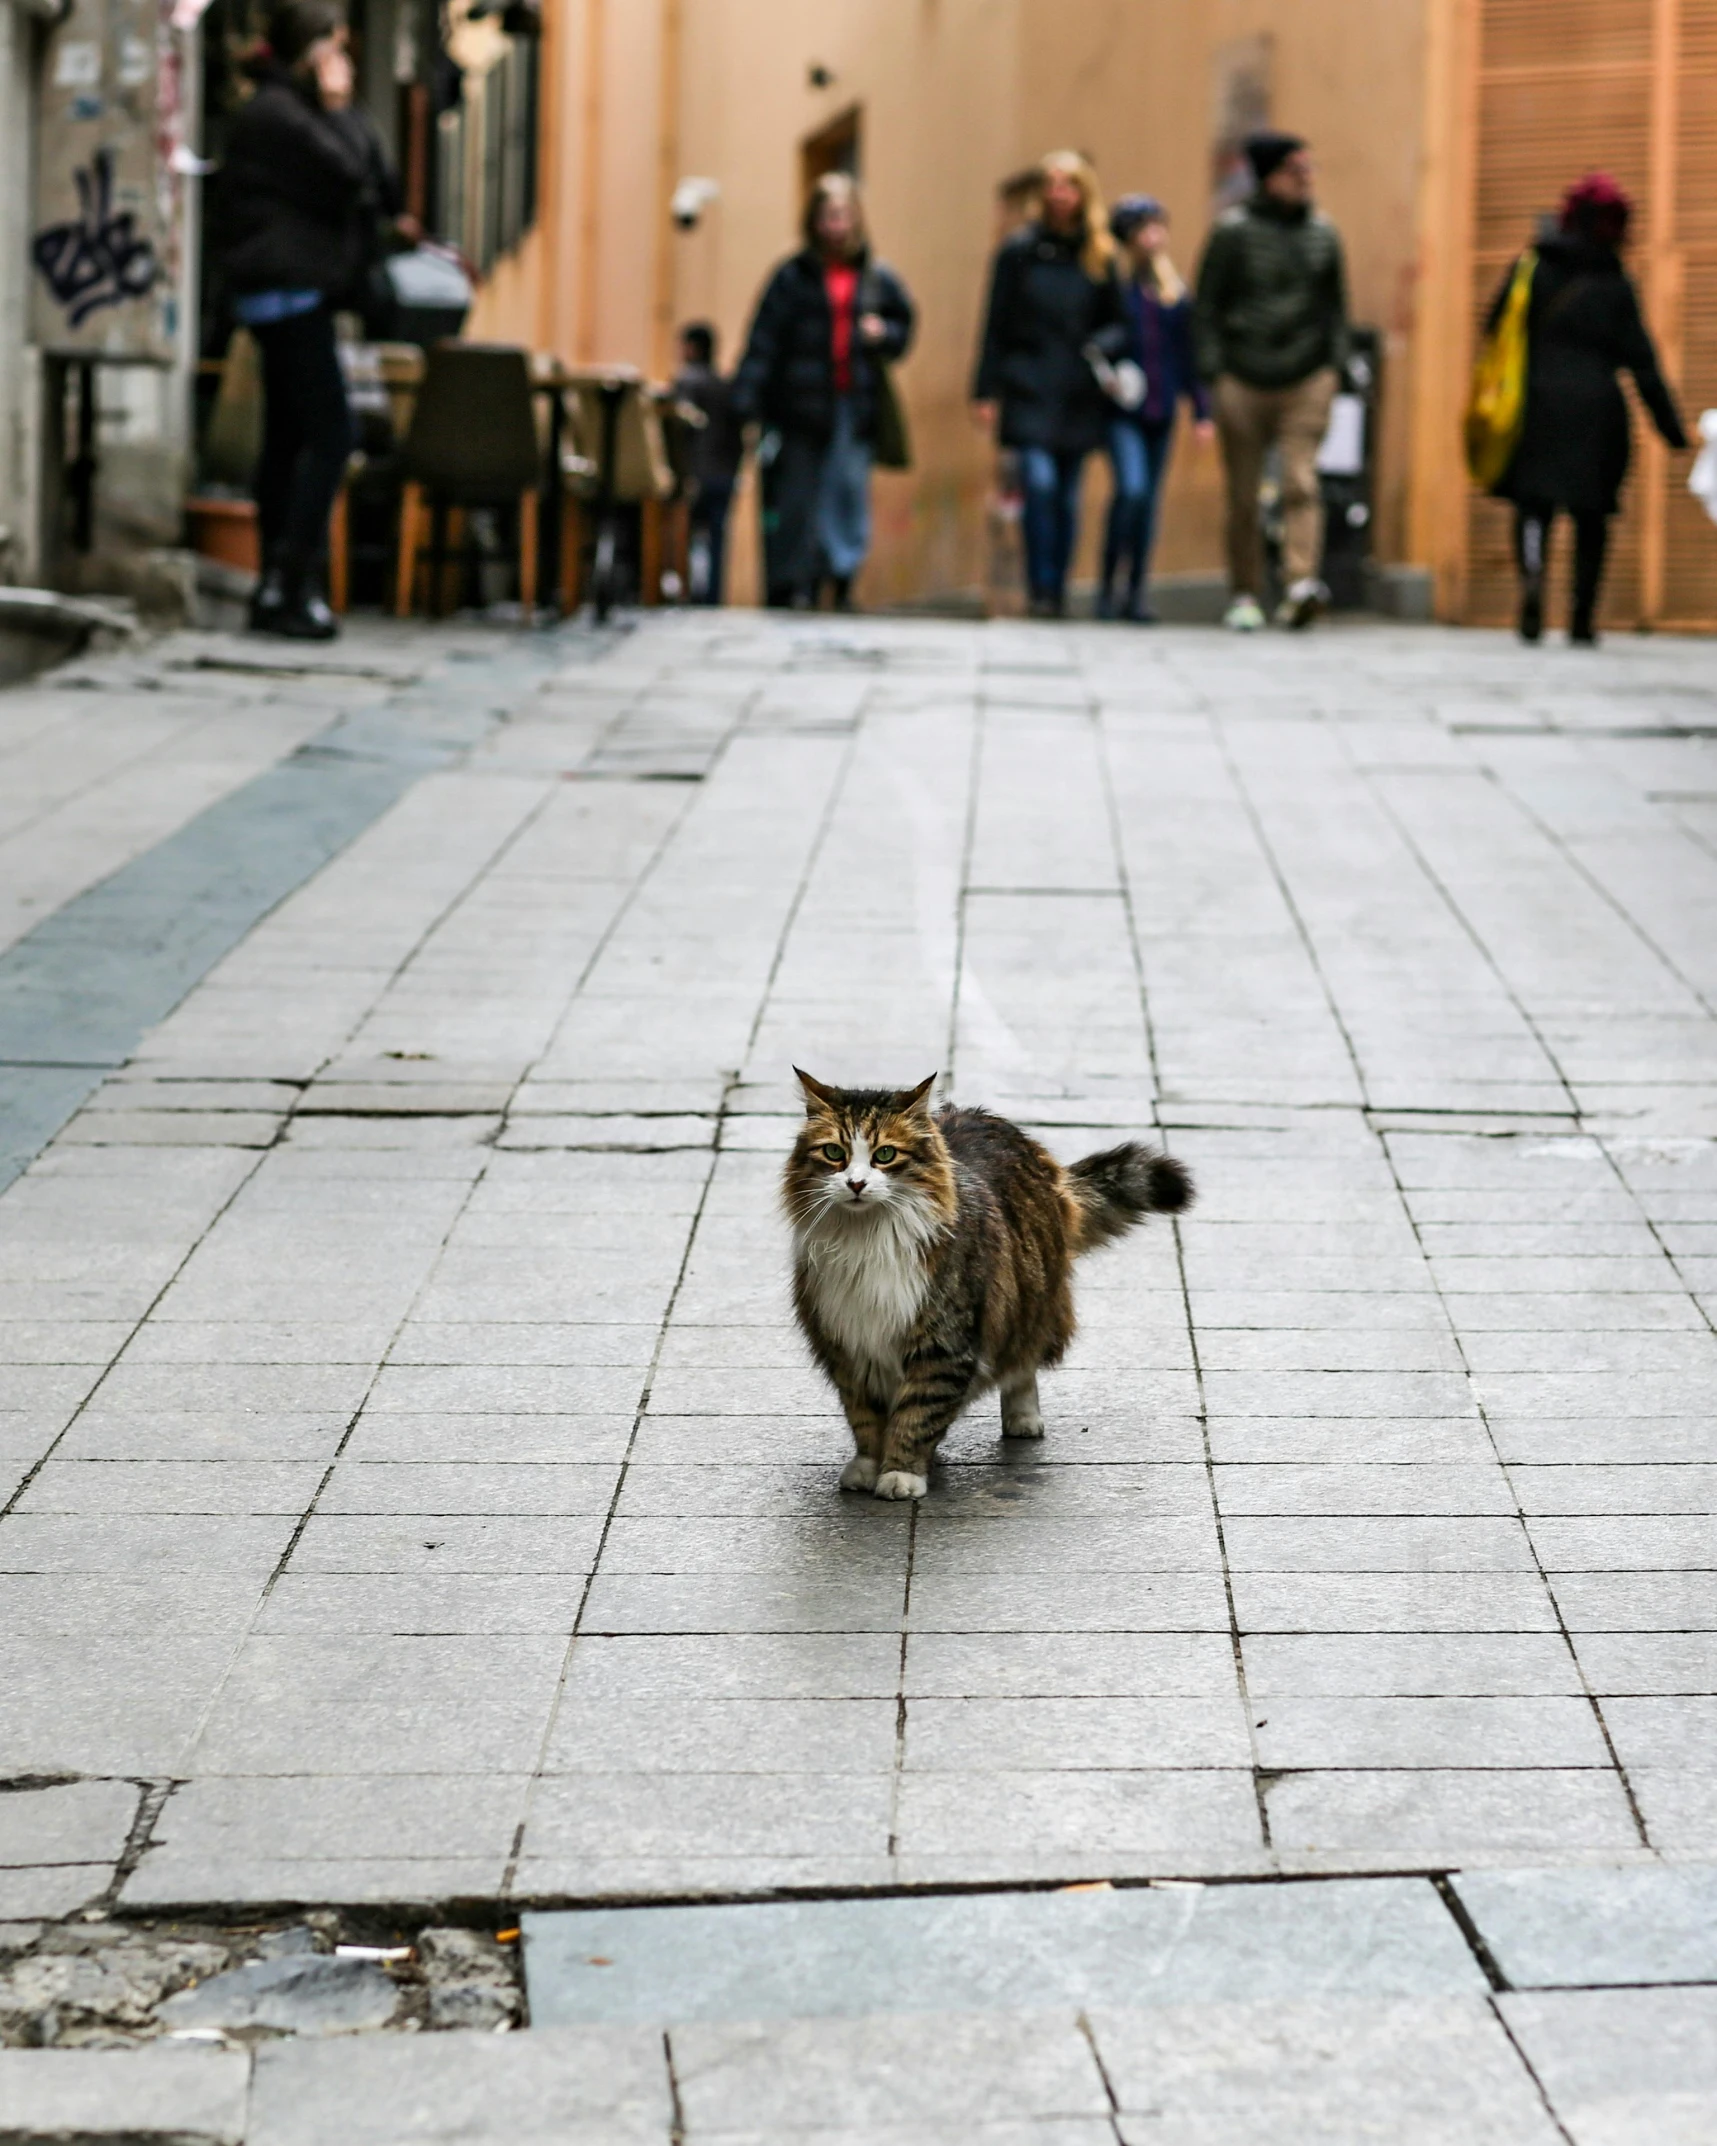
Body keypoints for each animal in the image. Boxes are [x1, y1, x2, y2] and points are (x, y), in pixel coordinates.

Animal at [781, 1068, 1193, 1502]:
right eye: (834, 1153)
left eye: (885, 1155)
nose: (856, 1184)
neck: (867, 1240)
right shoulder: (848, 1343)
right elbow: (864, 1419)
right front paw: (868, 1466)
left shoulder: (943, 1343)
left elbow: (916, 1415)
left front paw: (901, 1474)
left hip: (1032, 1301)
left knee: (1023, 1365)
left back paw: (1022, 1419)